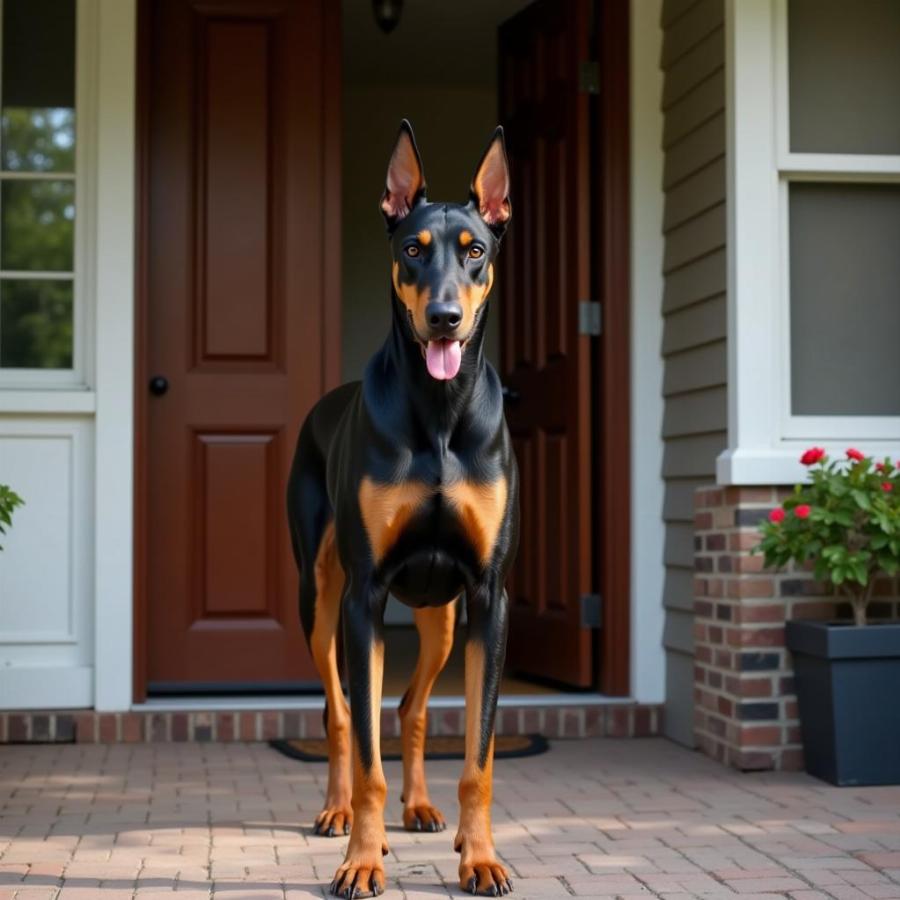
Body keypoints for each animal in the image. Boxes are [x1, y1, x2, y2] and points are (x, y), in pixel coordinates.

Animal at [284, 121, 516, 900]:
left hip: (440, 615)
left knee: (413, 709)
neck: (439, 412)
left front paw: (482, 857)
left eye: (475, 250)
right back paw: (335, 813)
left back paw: (419, 807)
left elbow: (478, 757)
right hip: (319, 594)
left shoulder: (487, 594)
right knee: (338, 711)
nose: (444, 318)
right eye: (412, 249)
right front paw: (361, 859)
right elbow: (364, 756)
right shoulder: (366, 593)